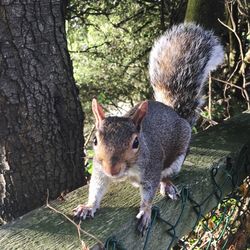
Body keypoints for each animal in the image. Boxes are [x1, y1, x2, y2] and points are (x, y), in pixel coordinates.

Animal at [73, 23, 224, 234]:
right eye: (95, 140)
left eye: (136, 142)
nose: (112, 169)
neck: (127, 171)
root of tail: (175, 114)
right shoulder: (99, 169)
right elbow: (96, 187)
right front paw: (89, 206)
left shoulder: (152, 166)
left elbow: (149, 191)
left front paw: (145, 211)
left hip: (176, 159)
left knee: (166, 175)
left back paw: (167, 184)